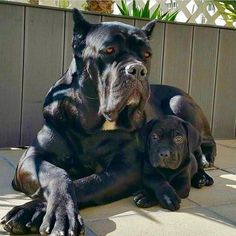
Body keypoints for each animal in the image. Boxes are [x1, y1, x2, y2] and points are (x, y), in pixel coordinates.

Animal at [0, 8, 156, 235]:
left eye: (146, 55)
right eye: (109, 50)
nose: (137, 69)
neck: (90, 125)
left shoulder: (126, 169)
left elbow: (85, 184)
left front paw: (38, 210)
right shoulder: (31, 158)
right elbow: (58, 173)